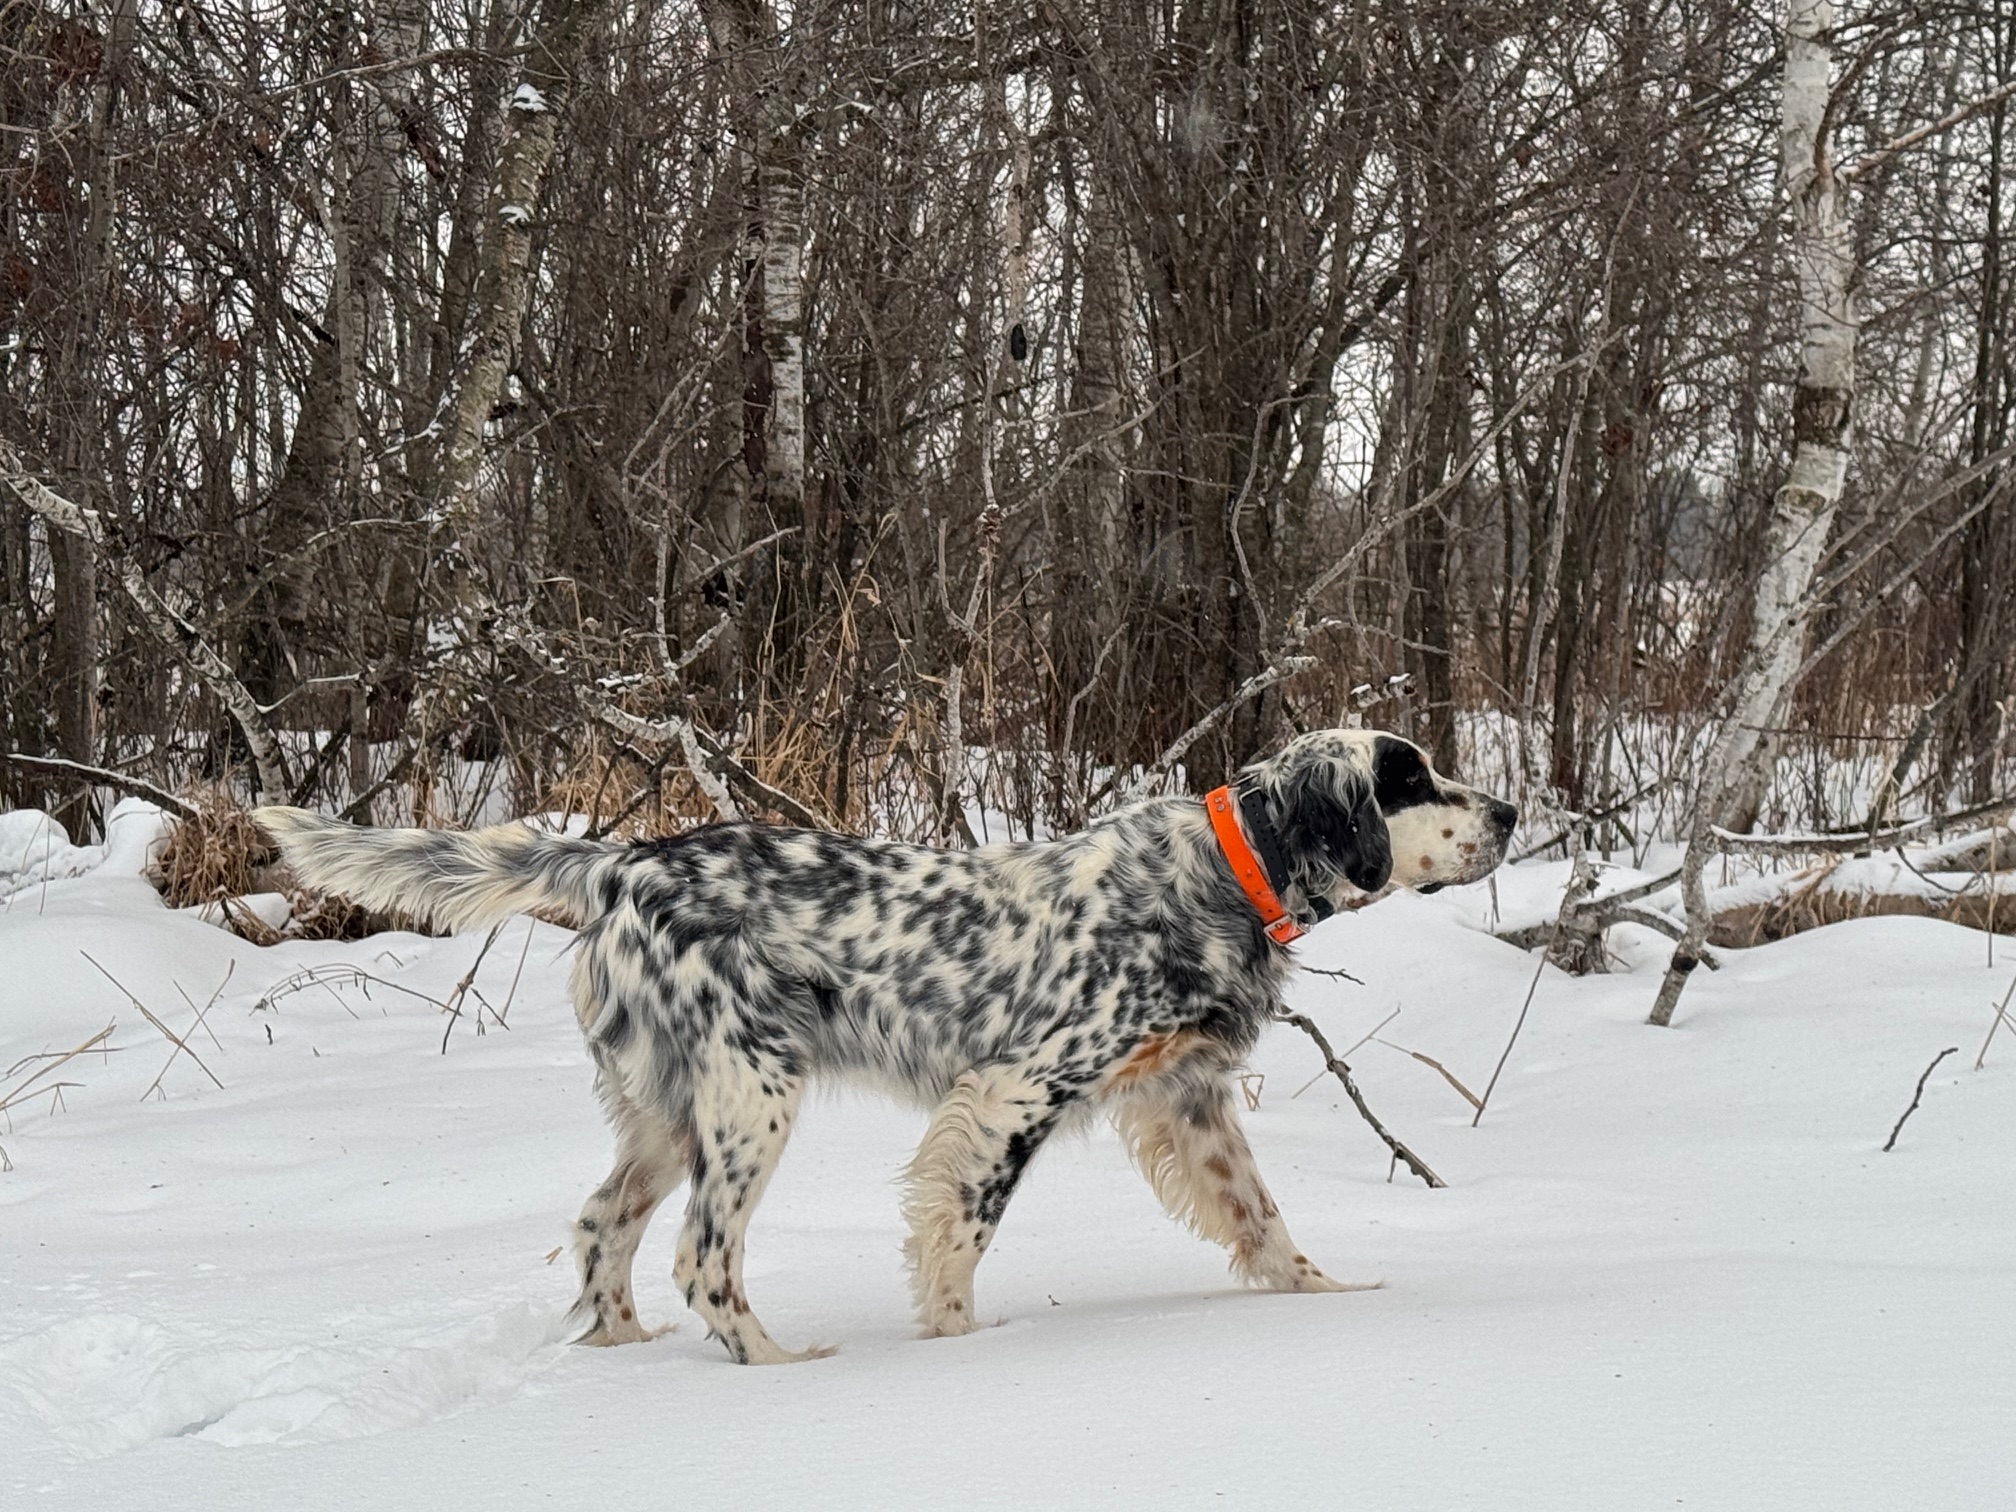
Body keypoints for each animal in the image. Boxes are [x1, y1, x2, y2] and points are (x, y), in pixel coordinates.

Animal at [258, 728, 1516, 1364]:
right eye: (1411, 779)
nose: (1507, 813)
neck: (1222, 871)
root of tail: (619, 863)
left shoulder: (1190, 1099)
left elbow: (1265, 1222)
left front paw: (1332, 1297)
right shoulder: (1016, 1091)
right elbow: (958, 1238)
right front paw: (956, 1349)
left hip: (668, 1114)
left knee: (603, 1229)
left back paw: (620, 1350)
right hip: (750, 1095)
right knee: (702, 1256)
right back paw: (774, 1366)